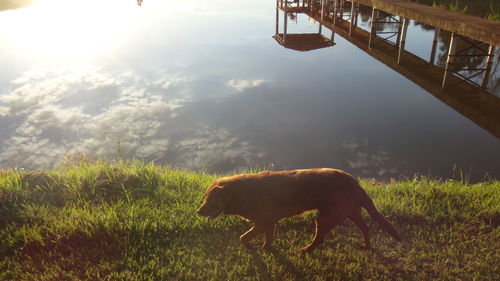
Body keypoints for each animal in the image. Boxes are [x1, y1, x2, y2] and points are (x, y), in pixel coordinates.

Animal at [197, 167, 400, 250]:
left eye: (209, 199)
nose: (198, 212)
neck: (242, 193)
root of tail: (355, 182)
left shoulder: (263, 223)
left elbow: (243, 237)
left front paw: (253, 248)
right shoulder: (269, 223)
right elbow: (268, 239)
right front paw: (265, 249)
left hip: (327, 215)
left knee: (320, 238)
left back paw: (306, 250)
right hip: (350, 212)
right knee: (366, 228)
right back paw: (366, 246)